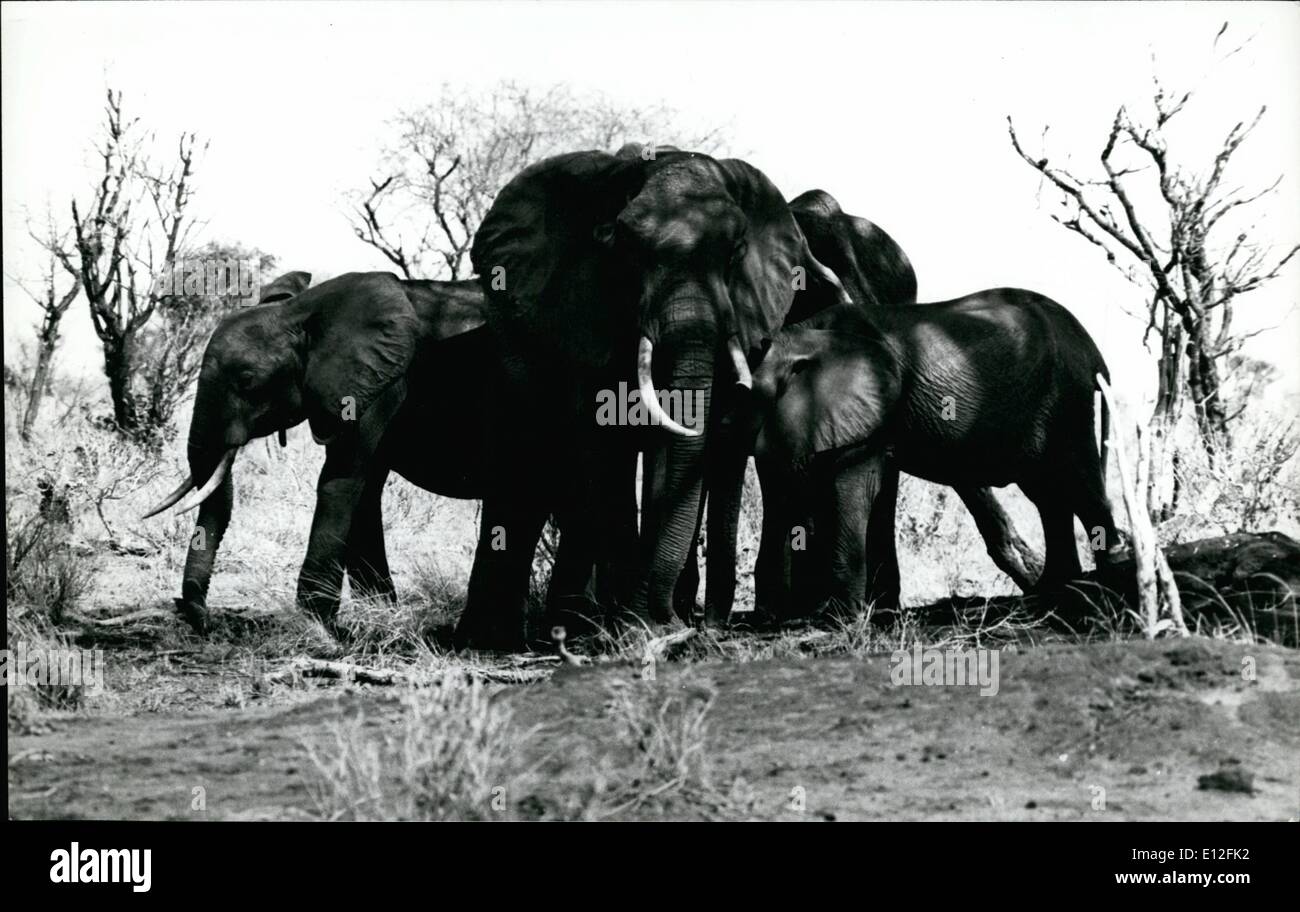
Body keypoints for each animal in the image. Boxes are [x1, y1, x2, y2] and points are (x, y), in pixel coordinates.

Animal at [141, 270, 579, 644]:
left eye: (247, 382)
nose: (199, 618)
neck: (303, 312)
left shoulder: (381, 381)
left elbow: (343, 479)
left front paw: (318, 623)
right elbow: (365, 489)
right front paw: (381, 616)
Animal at [465, 146, 852, 639]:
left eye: (736, 252)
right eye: (624, 248)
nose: (706, 626)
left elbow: (673, 442)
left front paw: (651, 621)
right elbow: (604, 438)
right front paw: (634, 625)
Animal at [748, 291, 1123, 620]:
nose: (769, 617)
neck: (807, 333)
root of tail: (1092, 348)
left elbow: (852, 488)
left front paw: (840, 618)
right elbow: (878, 491)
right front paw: (879, 613)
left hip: (1066, 400)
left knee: (1082, 488)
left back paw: (1108, 594)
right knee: (1050, 496)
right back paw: (1055, 594)